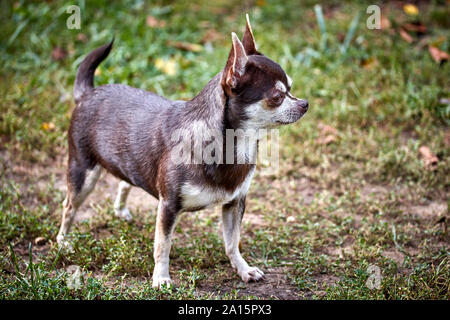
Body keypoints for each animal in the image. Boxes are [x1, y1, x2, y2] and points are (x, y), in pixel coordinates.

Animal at [57, 15, 310, 288]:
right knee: (69, 206)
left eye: (291, 88)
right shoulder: (168, 206)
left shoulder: (235, 203)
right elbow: (162, 245)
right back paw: (63, 242)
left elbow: (232, 242)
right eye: (277, 97)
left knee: (125, 181)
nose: (305, 104)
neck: (232, 145)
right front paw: (161, 278)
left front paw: (243, 269)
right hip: (83, 172)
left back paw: (120, 209)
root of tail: (88, 93)